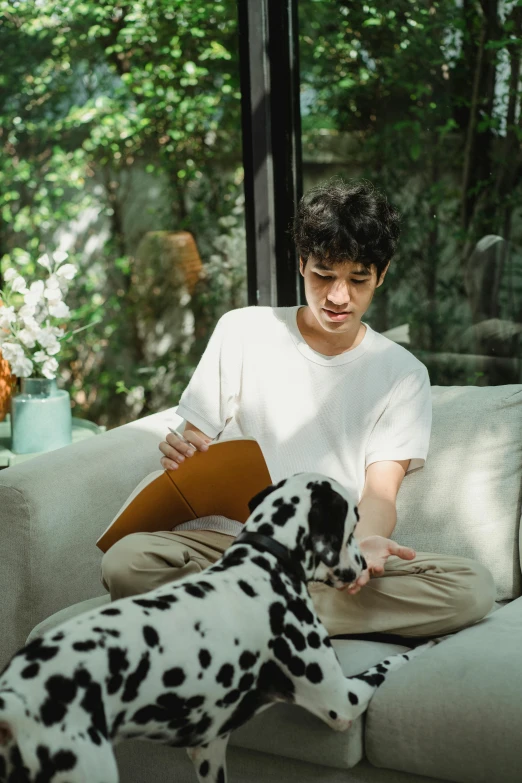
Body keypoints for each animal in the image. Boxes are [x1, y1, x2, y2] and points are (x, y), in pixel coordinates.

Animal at [0, 474, 430, 783]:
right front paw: (427, 647)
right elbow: (391, 663)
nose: (363, 564)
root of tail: (14, 699)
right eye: (352, 524)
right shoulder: (342, 699)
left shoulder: (209, 749)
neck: (262, 562)